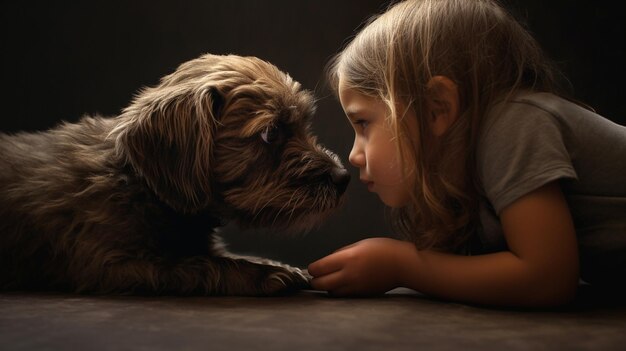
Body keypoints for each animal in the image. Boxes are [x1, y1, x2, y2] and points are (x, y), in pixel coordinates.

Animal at [0, 53, 352, 296]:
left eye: (303, 125)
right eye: (271, 132)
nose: (342, 177)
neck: (140, 185)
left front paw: (272, 264)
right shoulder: (110, 263)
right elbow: (194, 264)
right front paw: (260, 274)